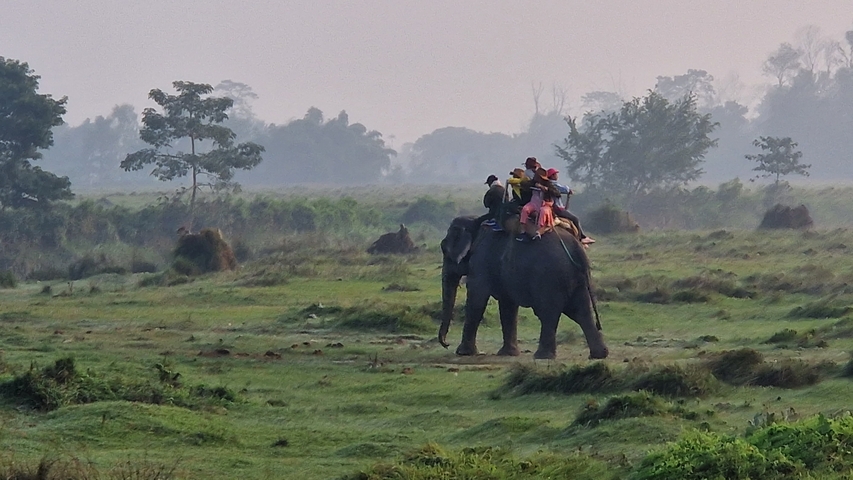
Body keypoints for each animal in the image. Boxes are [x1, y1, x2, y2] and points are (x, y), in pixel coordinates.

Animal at [438, 216, 608, 360]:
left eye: (443, 249)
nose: (446, 344)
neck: (475, 222)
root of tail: (578, 248)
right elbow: (507, 305)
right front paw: (508, 353)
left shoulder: (481, 260)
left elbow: (477, 298)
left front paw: (463, 353)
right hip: (576, 278)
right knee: (581, 311)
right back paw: (599, 355)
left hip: (549, 277)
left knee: (548, 313)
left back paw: (542, 356)